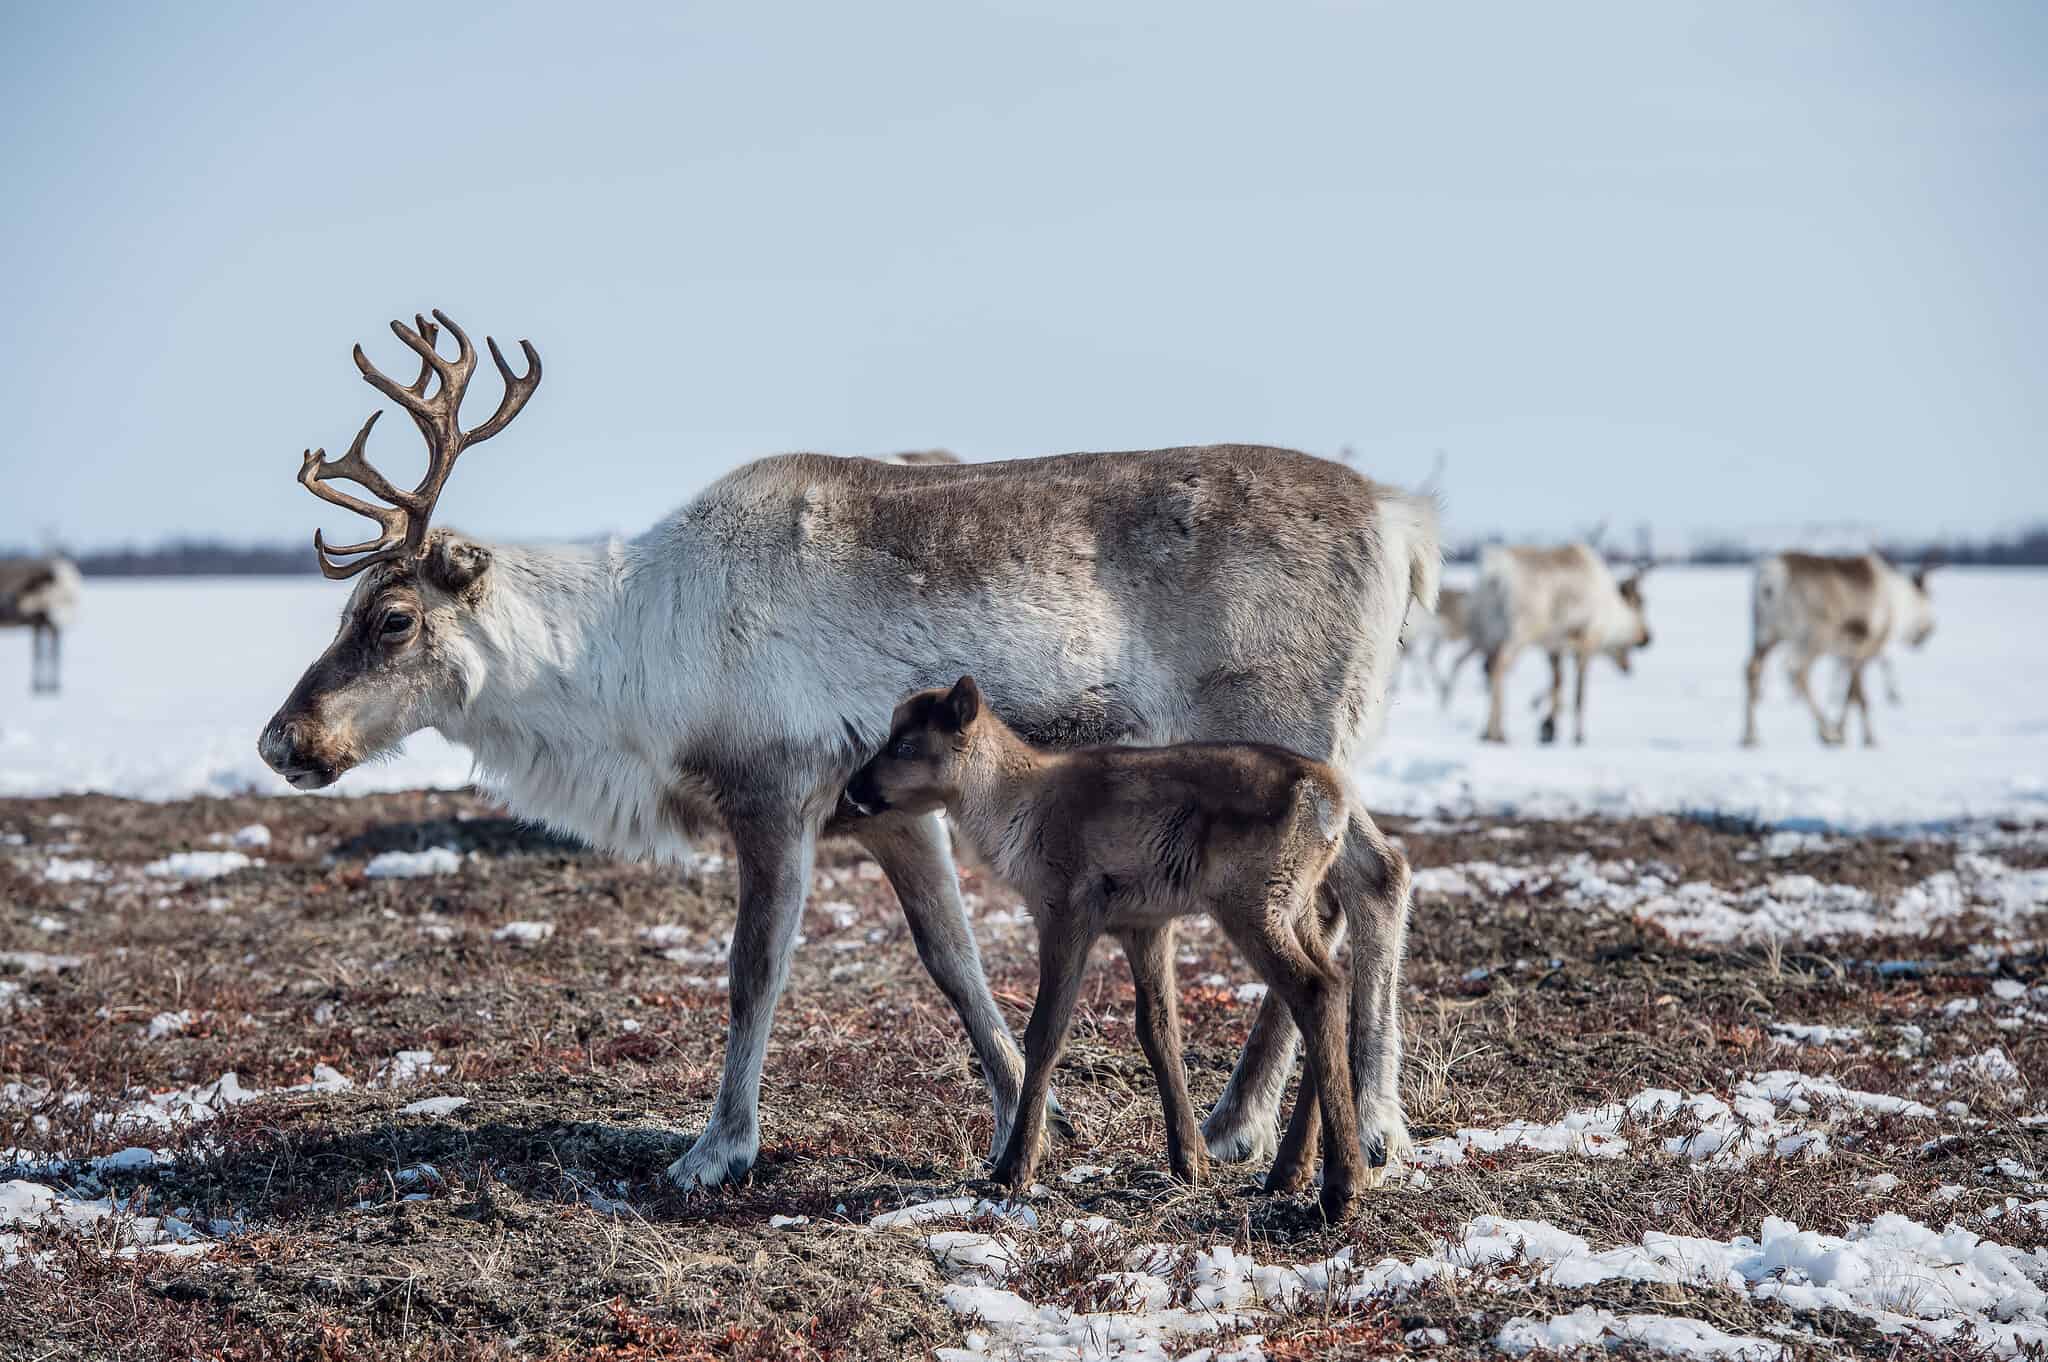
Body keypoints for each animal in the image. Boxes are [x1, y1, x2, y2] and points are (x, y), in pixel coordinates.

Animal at [847, 675, 1376, 1212]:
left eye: (906, 746)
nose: (853, 788)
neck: (1015, 803)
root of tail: (1331, 799)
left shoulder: (1065, 911)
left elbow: (1046, 1031)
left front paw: (1014, 1167)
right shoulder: (1144, 925)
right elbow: (1158, 1031)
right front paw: (1189, 1161)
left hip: (1252, 904)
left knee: (1315, 990)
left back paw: (1341, 1183)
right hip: (1298, 906)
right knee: (1332, 984)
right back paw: (1291, 1171)